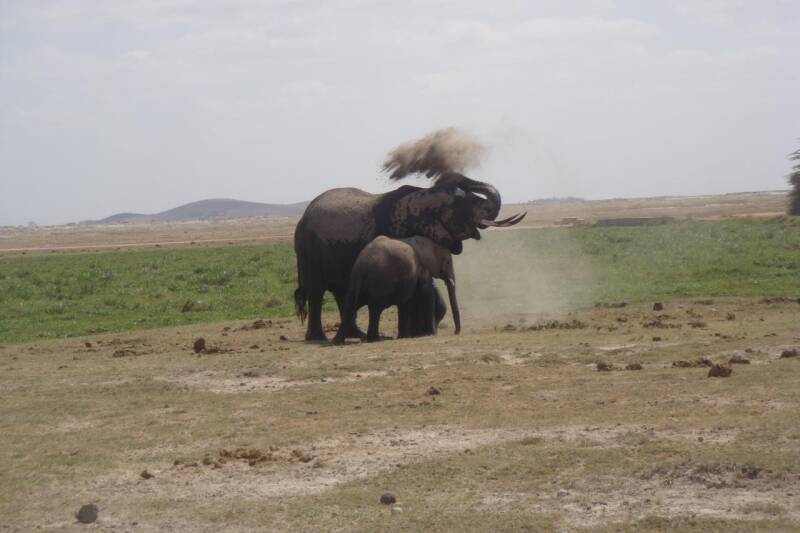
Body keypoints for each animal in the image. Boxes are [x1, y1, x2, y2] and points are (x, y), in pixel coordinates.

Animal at [332, 235, 460, 344]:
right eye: (448, 262)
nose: (456, 332)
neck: (429, 242)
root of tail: (362, 266)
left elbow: (407, 301)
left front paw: (405, 336)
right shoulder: (421, 268)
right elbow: (425, 294)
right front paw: (429, 334)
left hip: (355, 281)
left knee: (349, 305)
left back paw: (338, 341)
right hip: (379, 281)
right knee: (375, 309)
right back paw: (375, 339)